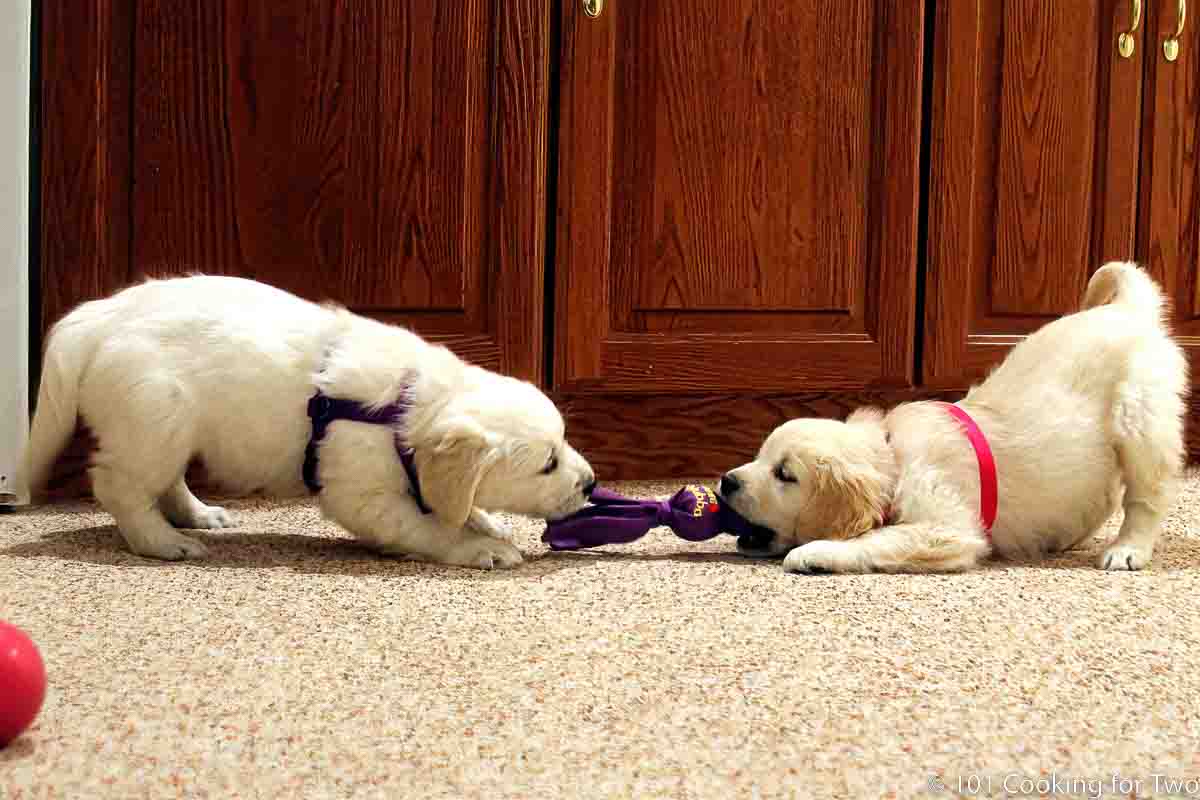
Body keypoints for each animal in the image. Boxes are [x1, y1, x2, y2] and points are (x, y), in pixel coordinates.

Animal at [23, 275, 595, 568]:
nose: (591, 483)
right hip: (155, 419)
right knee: (119, 485)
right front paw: (480, 547)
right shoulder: (360, 493)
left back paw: (197, 514)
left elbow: (449, 505)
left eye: (565, 443)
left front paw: (483, 521)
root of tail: (99, 316)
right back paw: (163, 541)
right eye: (547, 464)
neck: (403, 410)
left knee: (165, 481)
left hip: (173, 429)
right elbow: (424, 526)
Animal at [715, 263, 1185, 575]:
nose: (726, 481)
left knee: (1146, 496)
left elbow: (878, 539)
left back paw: (1127, 550)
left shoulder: (948, 527)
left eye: (785, 475)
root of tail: (1128, 310)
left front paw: (814, 551)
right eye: (760, 456)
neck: (894, 456)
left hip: (1140, 419)